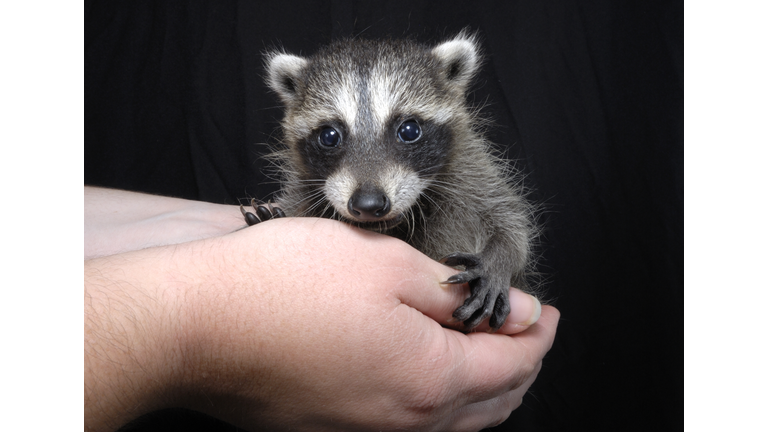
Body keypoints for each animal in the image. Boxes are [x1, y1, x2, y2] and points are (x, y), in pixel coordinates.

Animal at [243, 32, 536, 330]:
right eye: (329, 136)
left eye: (409, 130)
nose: (368, 203)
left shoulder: (472, 170)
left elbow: (509, 218)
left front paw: (499, 259)